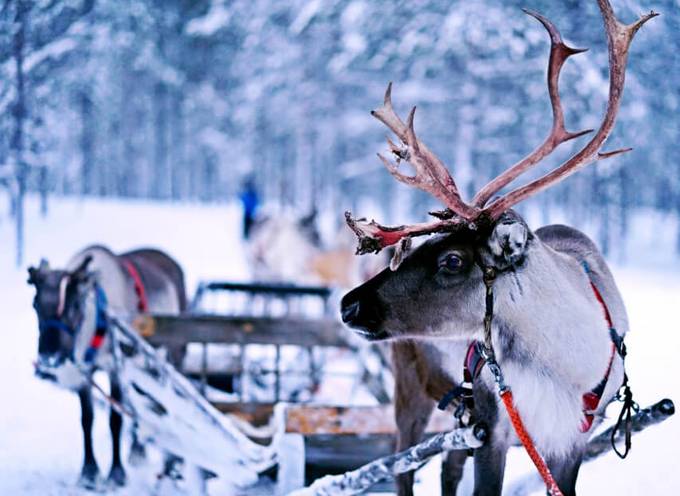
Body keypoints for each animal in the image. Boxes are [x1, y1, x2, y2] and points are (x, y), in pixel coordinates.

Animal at [340, 2, 657, 495]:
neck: (562, 367)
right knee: (402, 466)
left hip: (454, 415)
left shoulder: (570, 440)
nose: (349, 305)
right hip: (410, 390)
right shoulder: (492, 426)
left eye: (452, 260)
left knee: (446, 468)